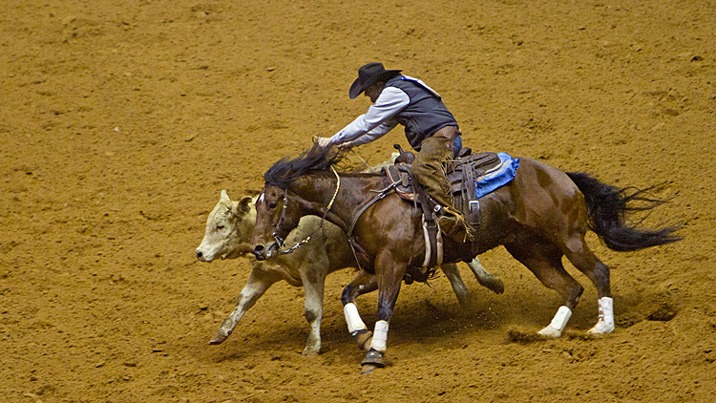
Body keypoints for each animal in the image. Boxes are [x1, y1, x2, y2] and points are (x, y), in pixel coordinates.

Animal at [195, 190, 504, 356]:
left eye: (221, 226)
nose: (199, 253)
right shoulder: (264, 273)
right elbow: (244, 301)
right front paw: (221, 333)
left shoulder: (314, 270)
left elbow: (312, 311)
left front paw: (312, 347)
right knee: (451, 265)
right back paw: (468, 299)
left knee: (462, 257)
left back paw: (489, 283)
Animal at [250, 144, 681, 371]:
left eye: (271, 202)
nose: (259, 248)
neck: (367, 202)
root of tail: (563, 177)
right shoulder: (377, 267)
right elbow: (346, 294)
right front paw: (360, 335)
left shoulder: (392, 265)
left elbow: (385, 307)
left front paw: (375, 351)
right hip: (530, 251)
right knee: (570, 288)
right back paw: (548, 333)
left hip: (570, 239)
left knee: (598, 271)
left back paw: (602, 327)